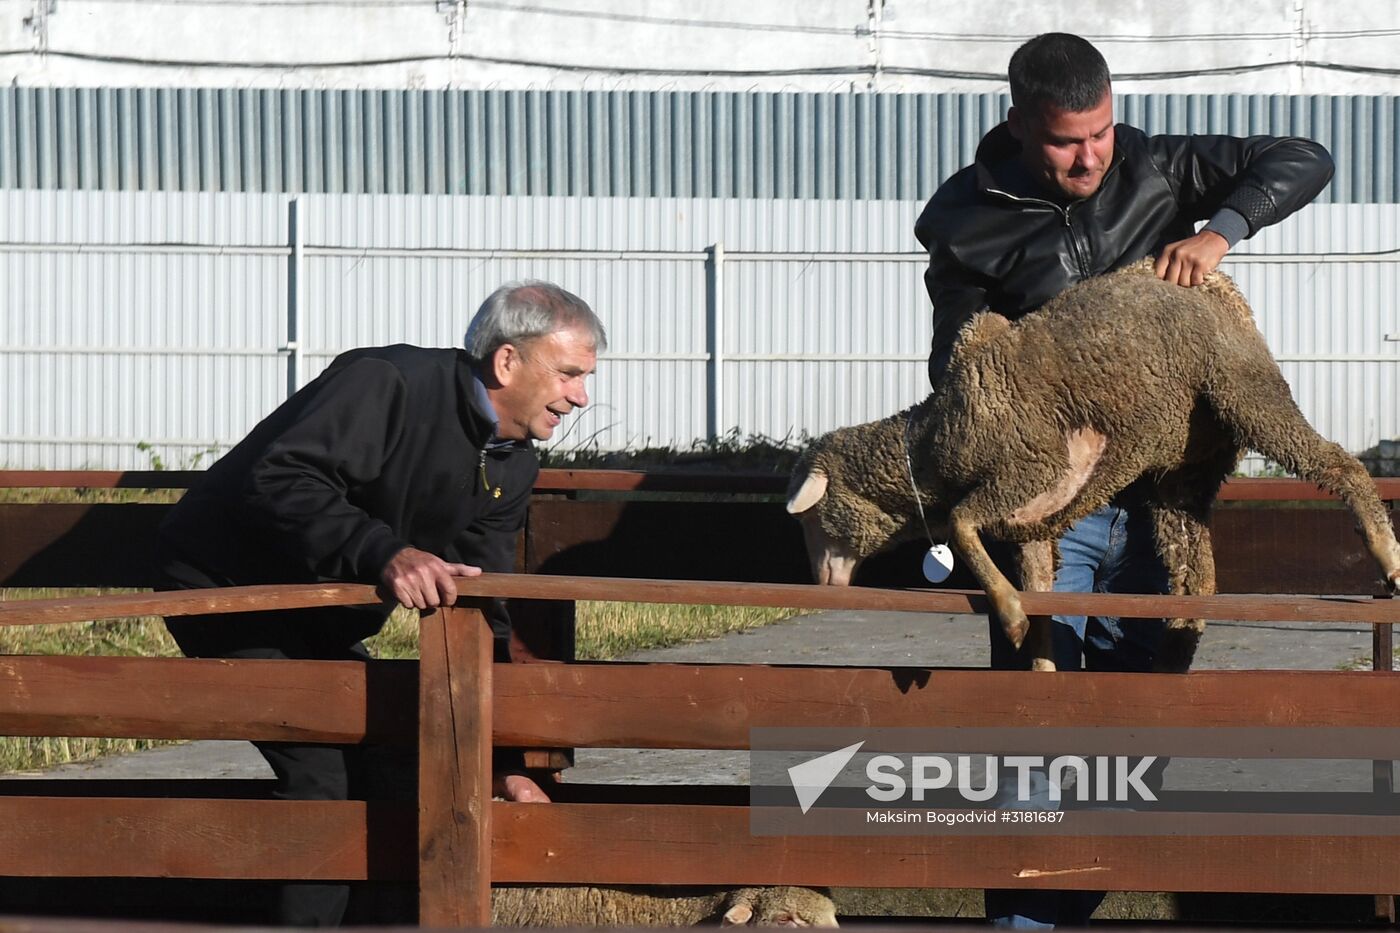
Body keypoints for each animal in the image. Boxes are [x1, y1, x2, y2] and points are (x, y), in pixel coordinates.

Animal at [784, 257, 1400, 672]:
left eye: (811, 515)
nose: (821, 583)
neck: (934, 443)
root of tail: (1214, 284)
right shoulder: (1031, 523)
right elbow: (1040, 594)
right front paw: (1039, 660)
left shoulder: (1033, 466)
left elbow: (960, 525)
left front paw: (1007, 614)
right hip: (1183, 471)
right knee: (1196, 577)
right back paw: (1172, 653)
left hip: (1245, 390)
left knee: (1342, 466)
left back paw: (1387, 553)